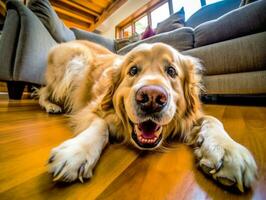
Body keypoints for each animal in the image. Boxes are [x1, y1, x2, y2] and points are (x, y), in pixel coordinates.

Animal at [38, 40, 256, 192]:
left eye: (171, 71)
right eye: (133, 70)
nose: (151, 98)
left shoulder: (190, 117)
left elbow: (213, 119)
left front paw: (228, 150)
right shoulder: (92, 108)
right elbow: (101, 126)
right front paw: (78, 151)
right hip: (73, 67)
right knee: (43, 91)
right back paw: (51, 106)